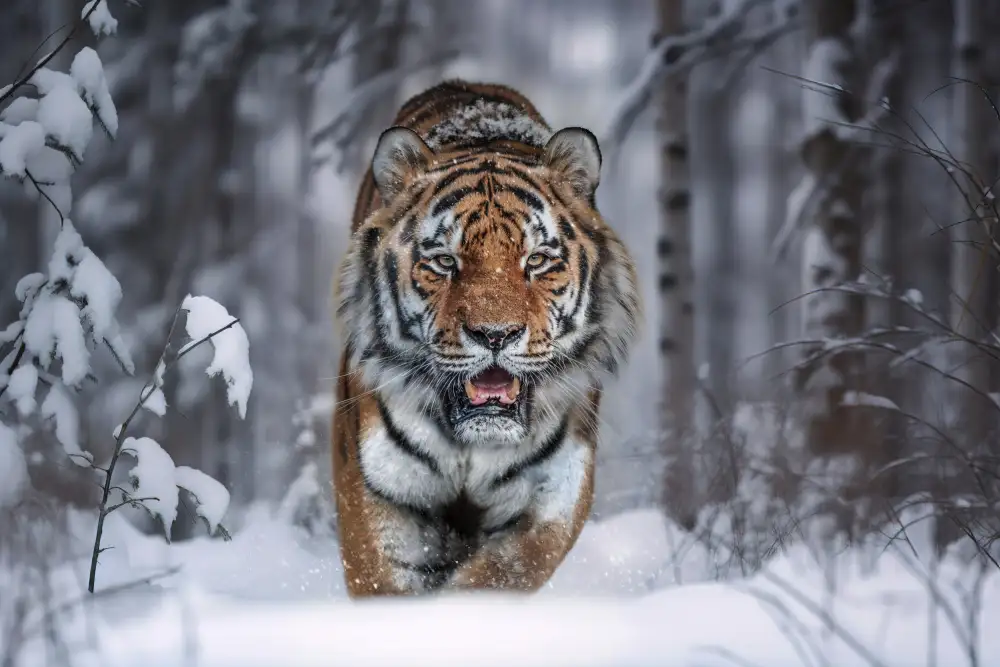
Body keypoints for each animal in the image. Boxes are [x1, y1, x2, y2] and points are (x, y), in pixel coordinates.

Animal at [332, 80, 640, 597]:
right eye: (444, 262)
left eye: (536, 261)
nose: (495, 334)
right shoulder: (376, 486)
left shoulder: (554, 492)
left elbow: (501, 574)